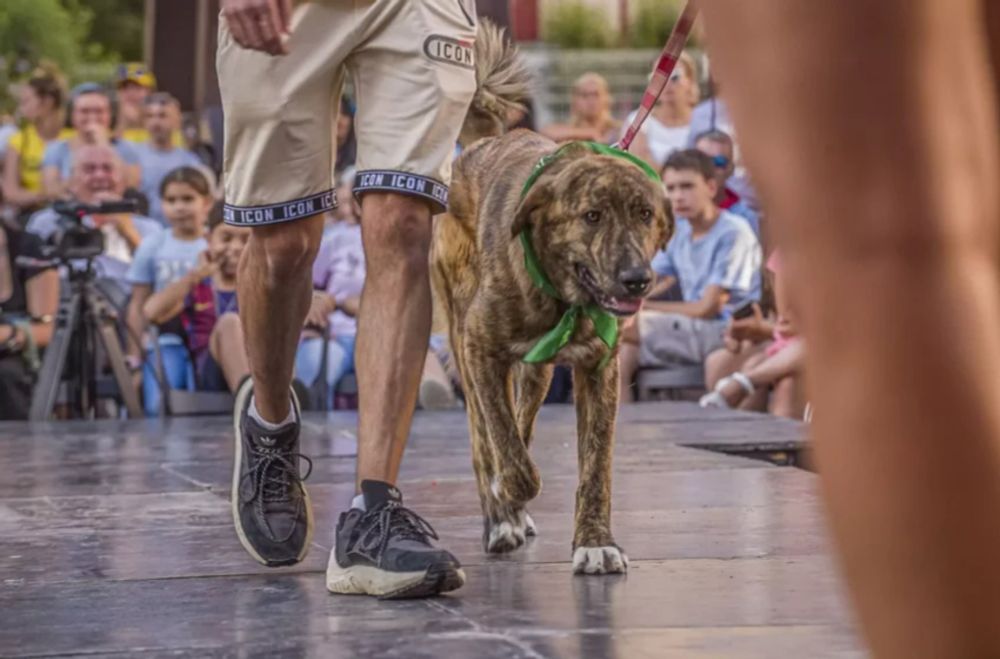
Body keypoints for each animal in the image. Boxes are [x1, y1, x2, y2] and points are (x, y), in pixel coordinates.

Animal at [432, 23, 672, 576]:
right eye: (591, 216)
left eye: (645, 214)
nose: (637, 280)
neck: (567, 300)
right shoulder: (480, 349)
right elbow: (505, 446)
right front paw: (509, 494)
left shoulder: (600, 370)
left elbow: (595, 466)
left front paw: (595, 541)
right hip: (462, 340)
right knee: (483, 436)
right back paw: (500, 517)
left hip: (537, 371)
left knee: (522, 419)